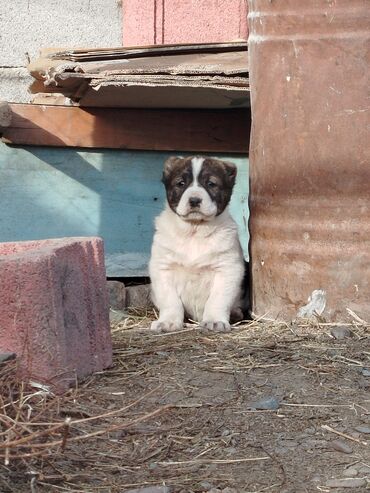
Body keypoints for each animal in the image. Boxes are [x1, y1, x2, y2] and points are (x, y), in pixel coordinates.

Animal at [149, 156, 244, 332]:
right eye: (181, 183)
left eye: (211, 183)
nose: (194, 200)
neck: (194, 231)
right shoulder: (163, 268)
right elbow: (170, 300)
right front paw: (168, 322)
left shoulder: (228, 269)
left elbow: (218, 299)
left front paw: (215, 320)